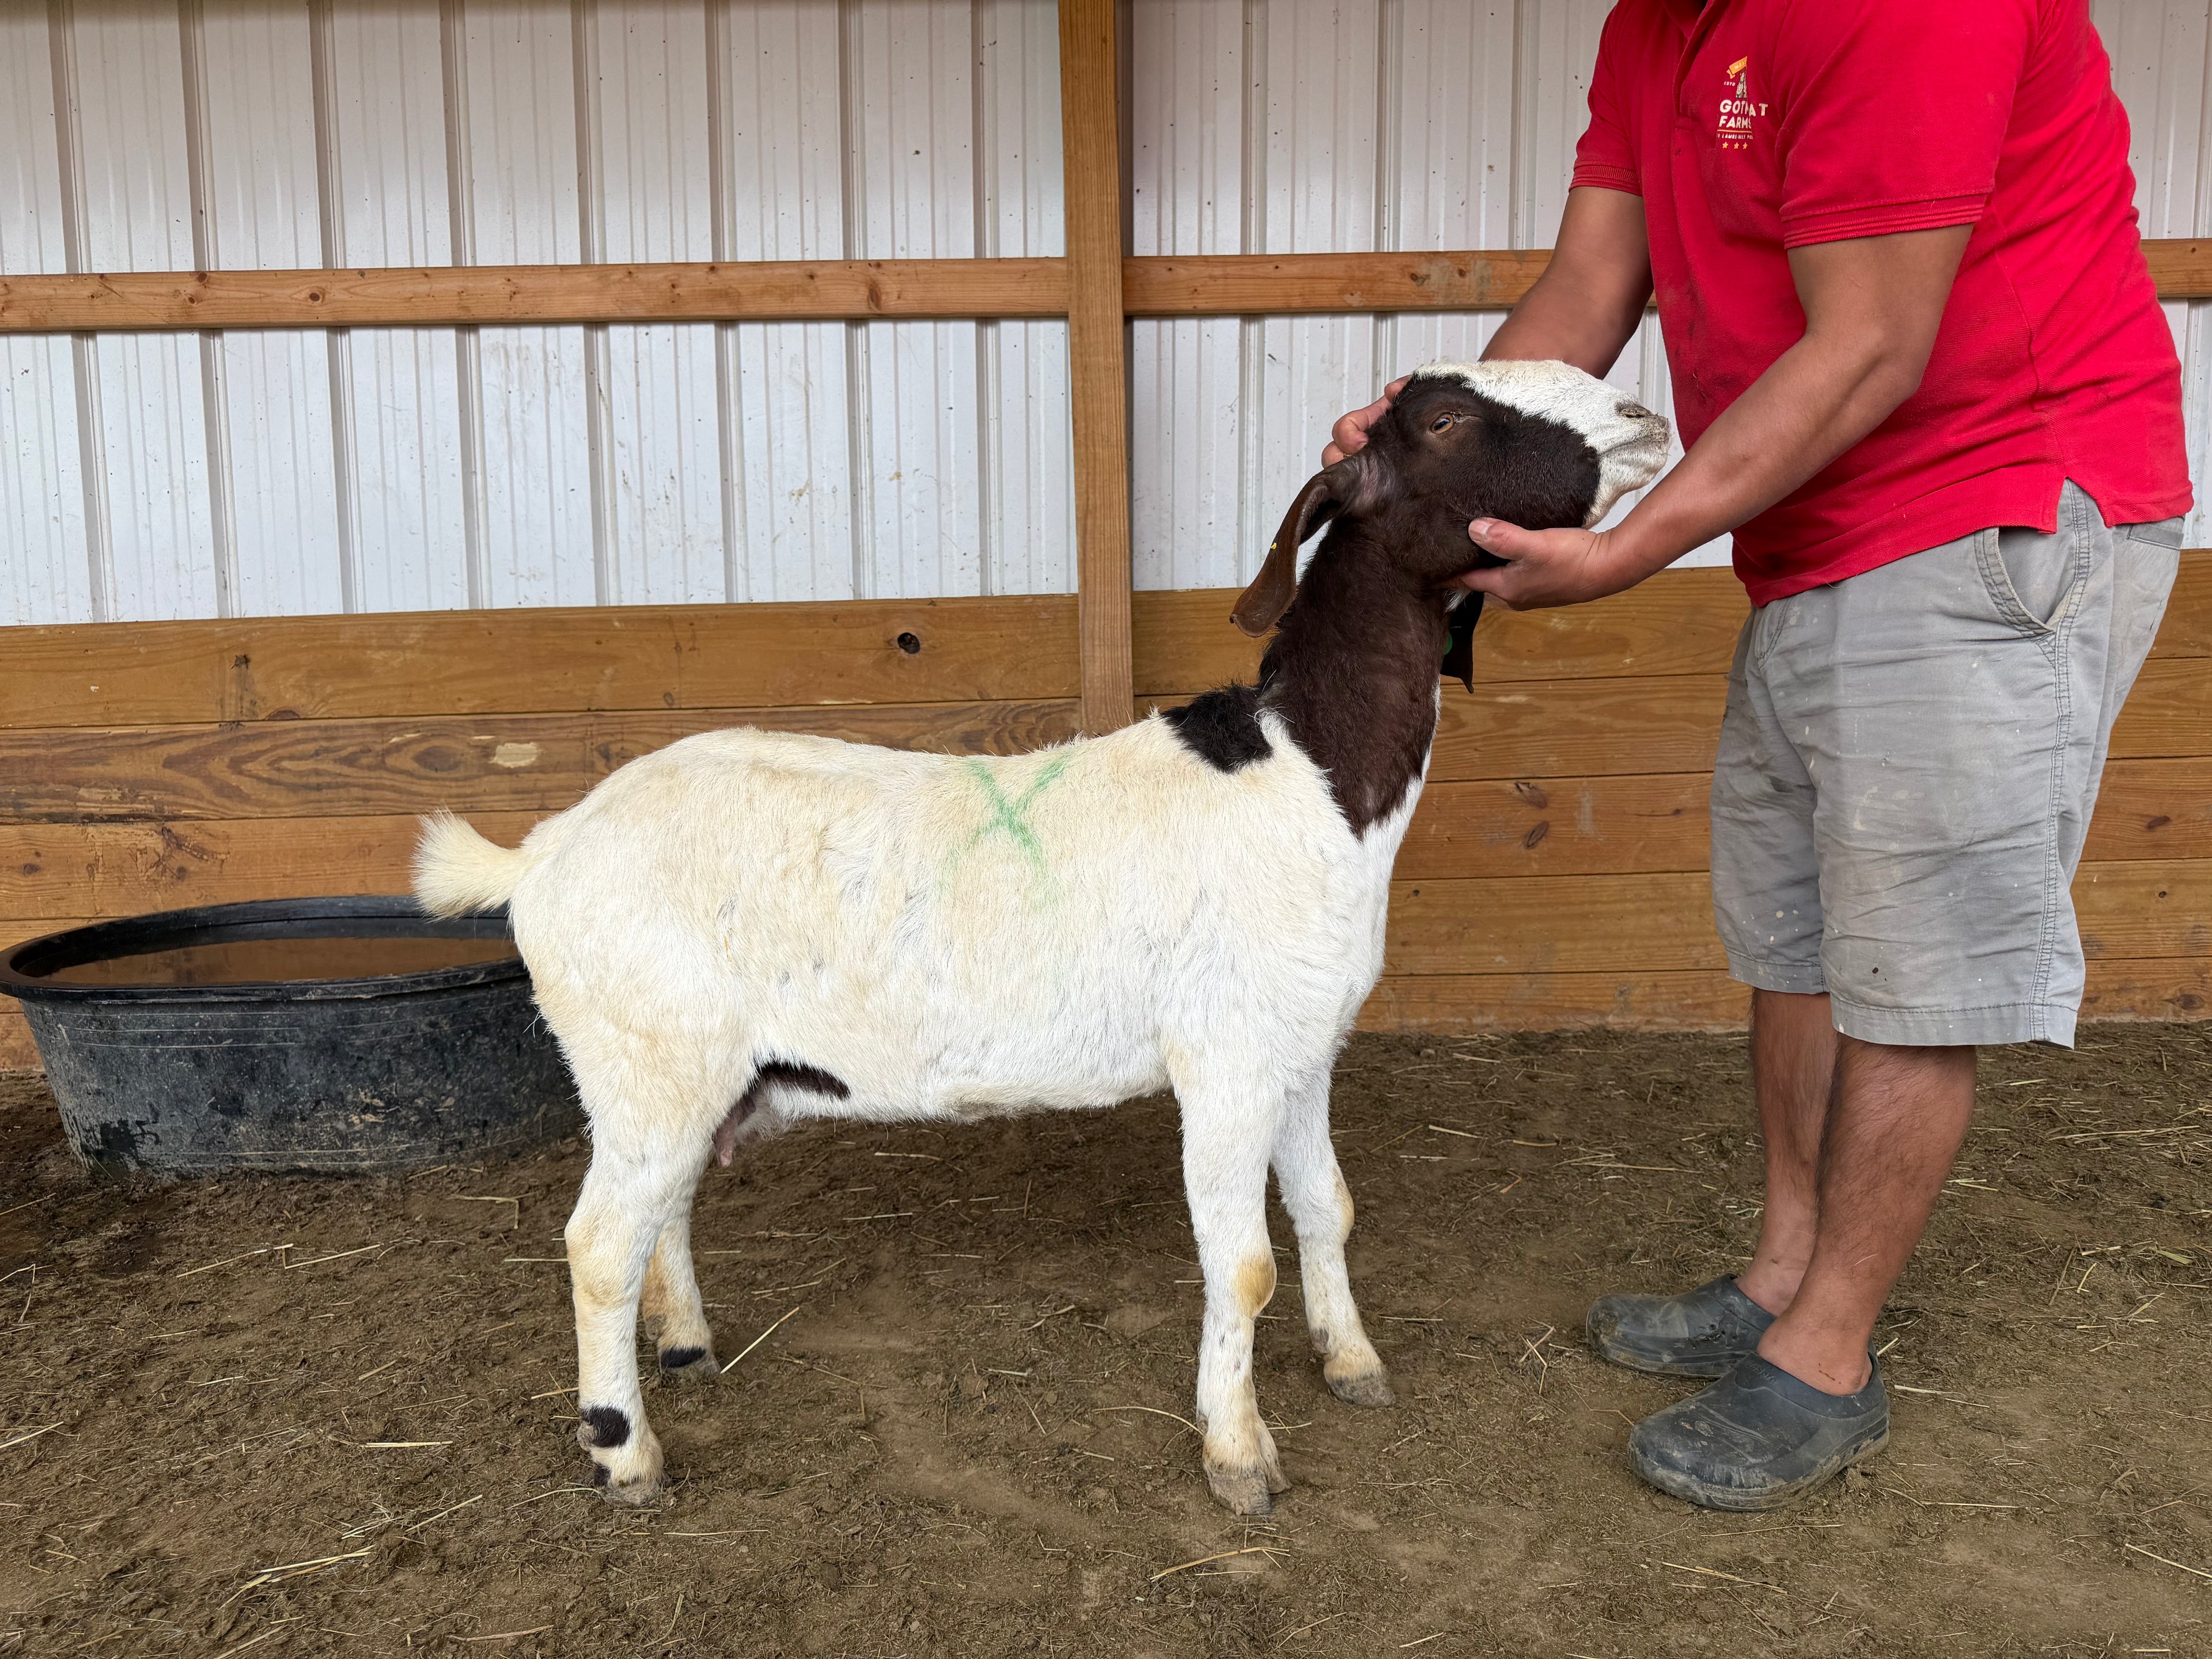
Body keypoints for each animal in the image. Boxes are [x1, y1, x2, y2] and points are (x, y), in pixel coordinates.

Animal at [415, 360, 1669, 1515]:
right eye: (1447, 420)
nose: (1646, 417)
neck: (1305, 775)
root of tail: (545, 850)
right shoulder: (1225, 1060)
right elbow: (1244, 1266)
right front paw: (1239, 1455)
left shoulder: (1303, 1046)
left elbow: (1328, 1206)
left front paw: (1351, 1360)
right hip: (645, 1049)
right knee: (596, 1243)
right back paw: (624, 1452)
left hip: (680, 1068)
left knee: (657, 1209)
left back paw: (682, 1345)